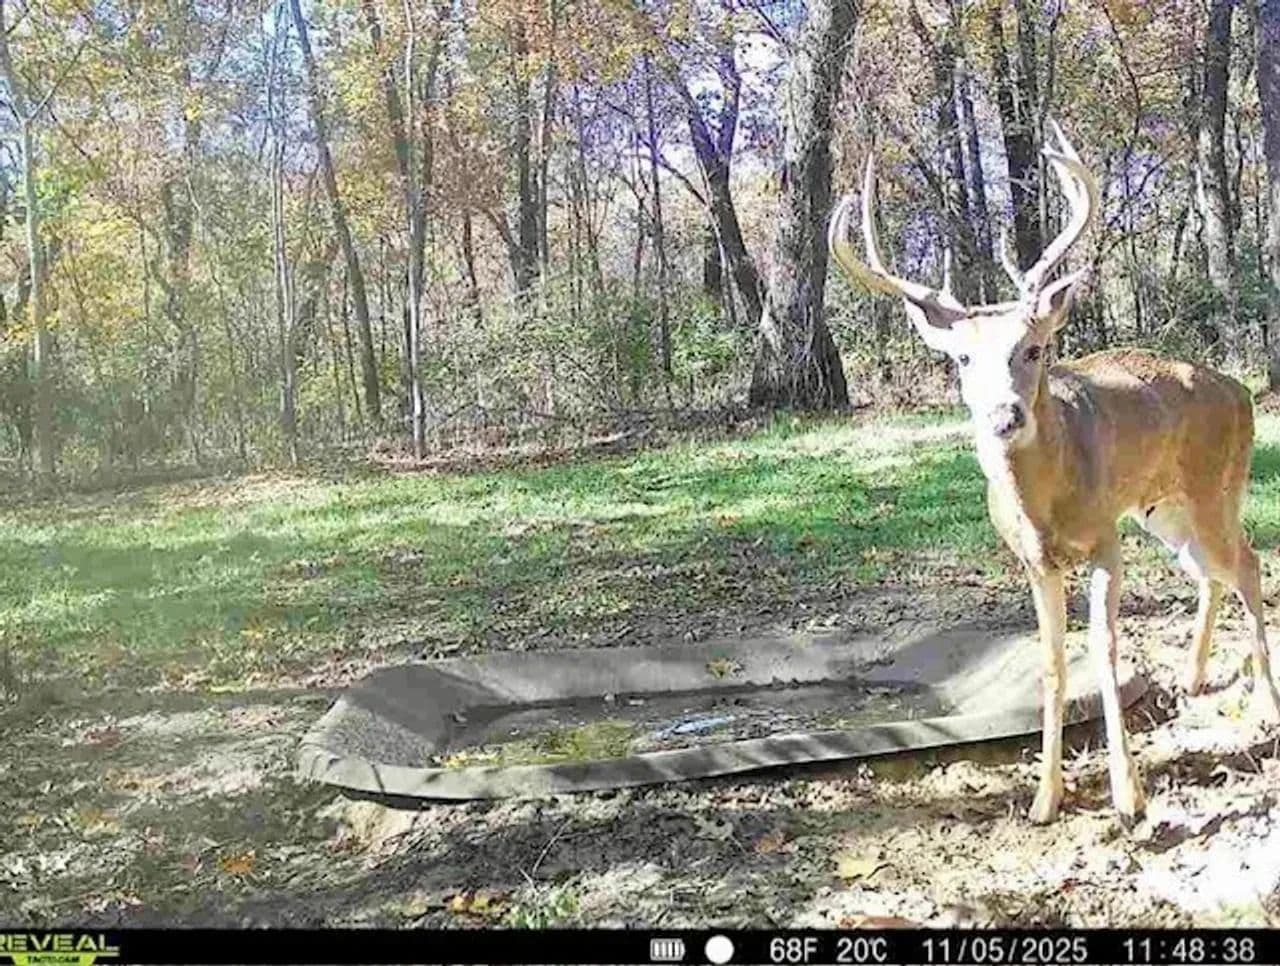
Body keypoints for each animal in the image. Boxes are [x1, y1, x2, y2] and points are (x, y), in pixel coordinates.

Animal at [827, 121, 1280, 825]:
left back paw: (1265, 702)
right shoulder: (1033, 560)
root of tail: (1239, 390)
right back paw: (1193, 678)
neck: (1047, 506)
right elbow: (1051, 661)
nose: (1005, 415)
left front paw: (1129, 799)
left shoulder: (1106, 542)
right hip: (1162, 508)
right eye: (962, 358)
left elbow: (1106, 648)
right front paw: (1045, 798)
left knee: (1249, 563)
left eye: (1033, 348)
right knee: (1210, 570)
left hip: (1217, 483)